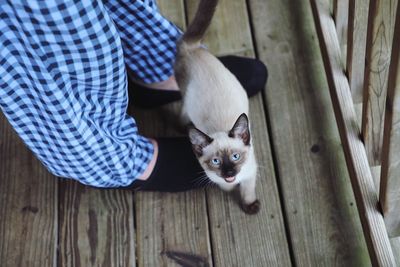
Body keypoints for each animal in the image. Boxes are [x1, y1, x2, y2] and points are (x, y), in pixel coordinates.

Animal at [174, 0, 260, 215]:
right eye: (216, 162)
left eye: (236, 157)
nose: (229, 172)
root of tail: (193, 48)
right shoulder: (214, 177)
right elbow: (226, 187)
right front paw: (232, 188)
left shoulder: (250, 172)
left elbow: (247, 190)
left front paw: (250, 207)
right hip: (186, 97)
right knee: (183, 110)